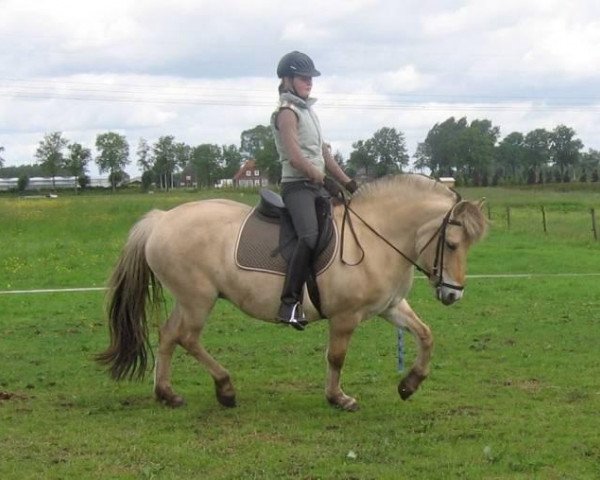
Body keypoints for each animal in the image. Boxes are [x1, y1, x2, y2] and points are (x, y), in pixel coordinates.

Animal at [97, 174, 488, 410]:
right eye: (452, 244)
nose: (453, 295)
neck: (376, 238)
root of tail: (161, 219)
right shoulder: (345, 317)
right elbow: (336, 357)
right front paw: (338, 397)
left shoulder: (390, 306)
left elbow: (426, 335)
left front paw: (410, 384)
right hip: (198, 300)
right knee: (187, 339)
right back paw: (225, 388)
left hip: (188, 299)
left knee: (167, 336)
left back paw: (167, 394)